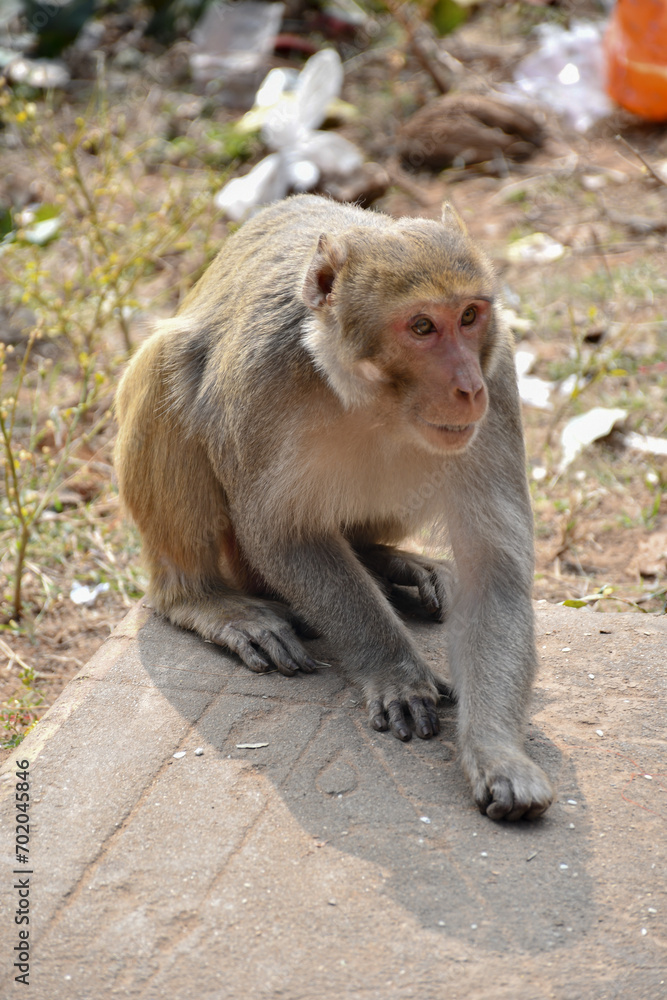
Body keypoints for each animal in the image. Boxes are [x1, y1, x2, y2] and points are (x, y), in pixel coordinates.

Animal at [114, 194, 553, 822]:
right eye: (422, 326)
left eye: (469, 317)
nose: (468, 388)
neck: (371, 398)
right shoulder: (263, 378)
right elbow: (280, 533)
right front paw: (394, 671)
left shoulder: (501, 372)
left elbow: (495, 568)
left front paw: (496, 752)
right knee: (168, 360)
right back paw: (200, 598)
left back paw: (388, 561)